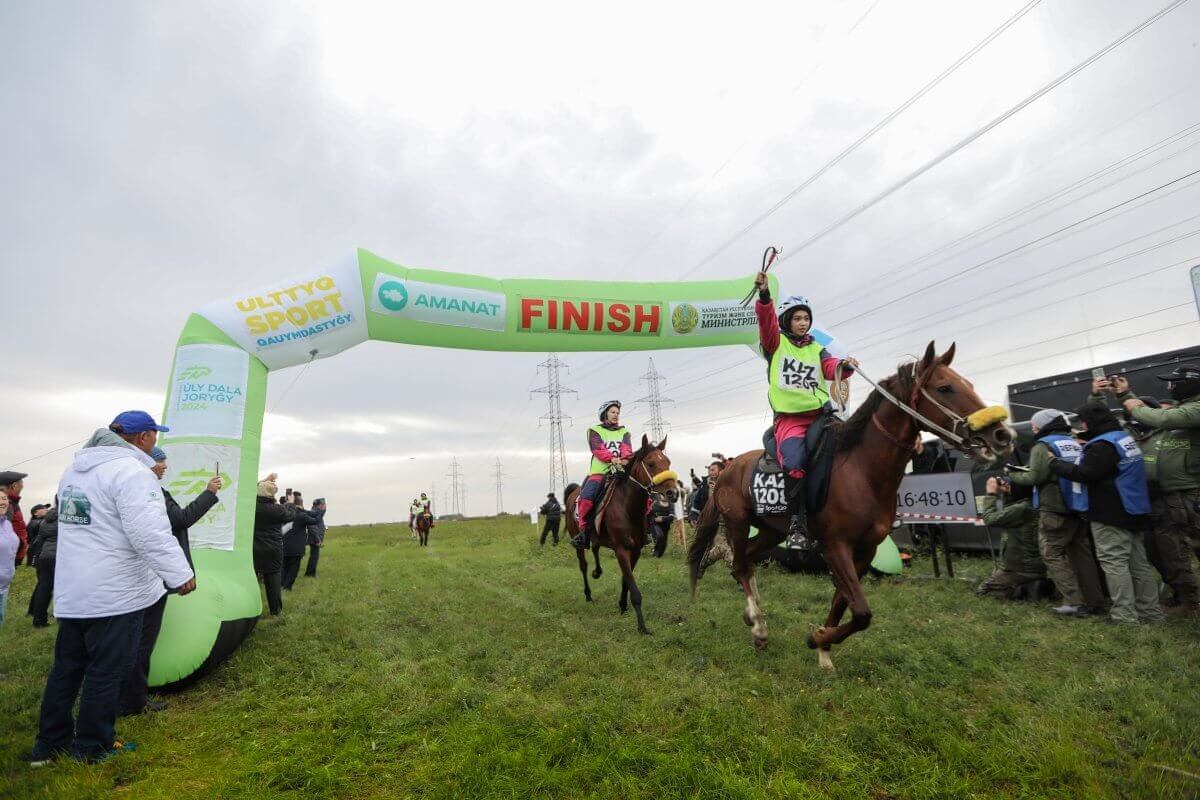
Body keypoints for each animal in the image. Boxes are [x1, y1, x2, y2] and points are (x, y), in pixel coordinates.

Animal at [564, 434, 681, 633]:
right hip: (577, 541)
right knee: (583, 565)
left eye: (667, 462)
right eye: (651, 463)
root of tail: (574, 492)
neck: (628, 508)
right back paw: (588, 594)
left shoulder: (635, 551)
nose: (672, 493)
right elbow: (634, 588)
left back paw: (597, 572)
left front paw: (623, 606)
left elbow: (626, 581)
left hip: (597, 538)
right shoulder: (621, 550)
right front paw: (642, 627)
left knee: (595, 549)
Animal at [686, 343, 1012, 671]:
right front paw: (816, 638)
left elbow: (843, 603)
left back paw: (753, 616)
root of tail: (726, 470)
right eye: (945, 388)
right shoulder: (835, 547)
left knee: (747, 560)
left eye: (969, 384)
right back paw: (758, 626)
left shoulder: (865, 550)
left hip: (771, 531)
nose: (1001, 435)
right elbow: (862, 612)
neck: (861, 470)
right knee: (740, 562)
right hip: (738, 523)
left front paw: (823, 648)